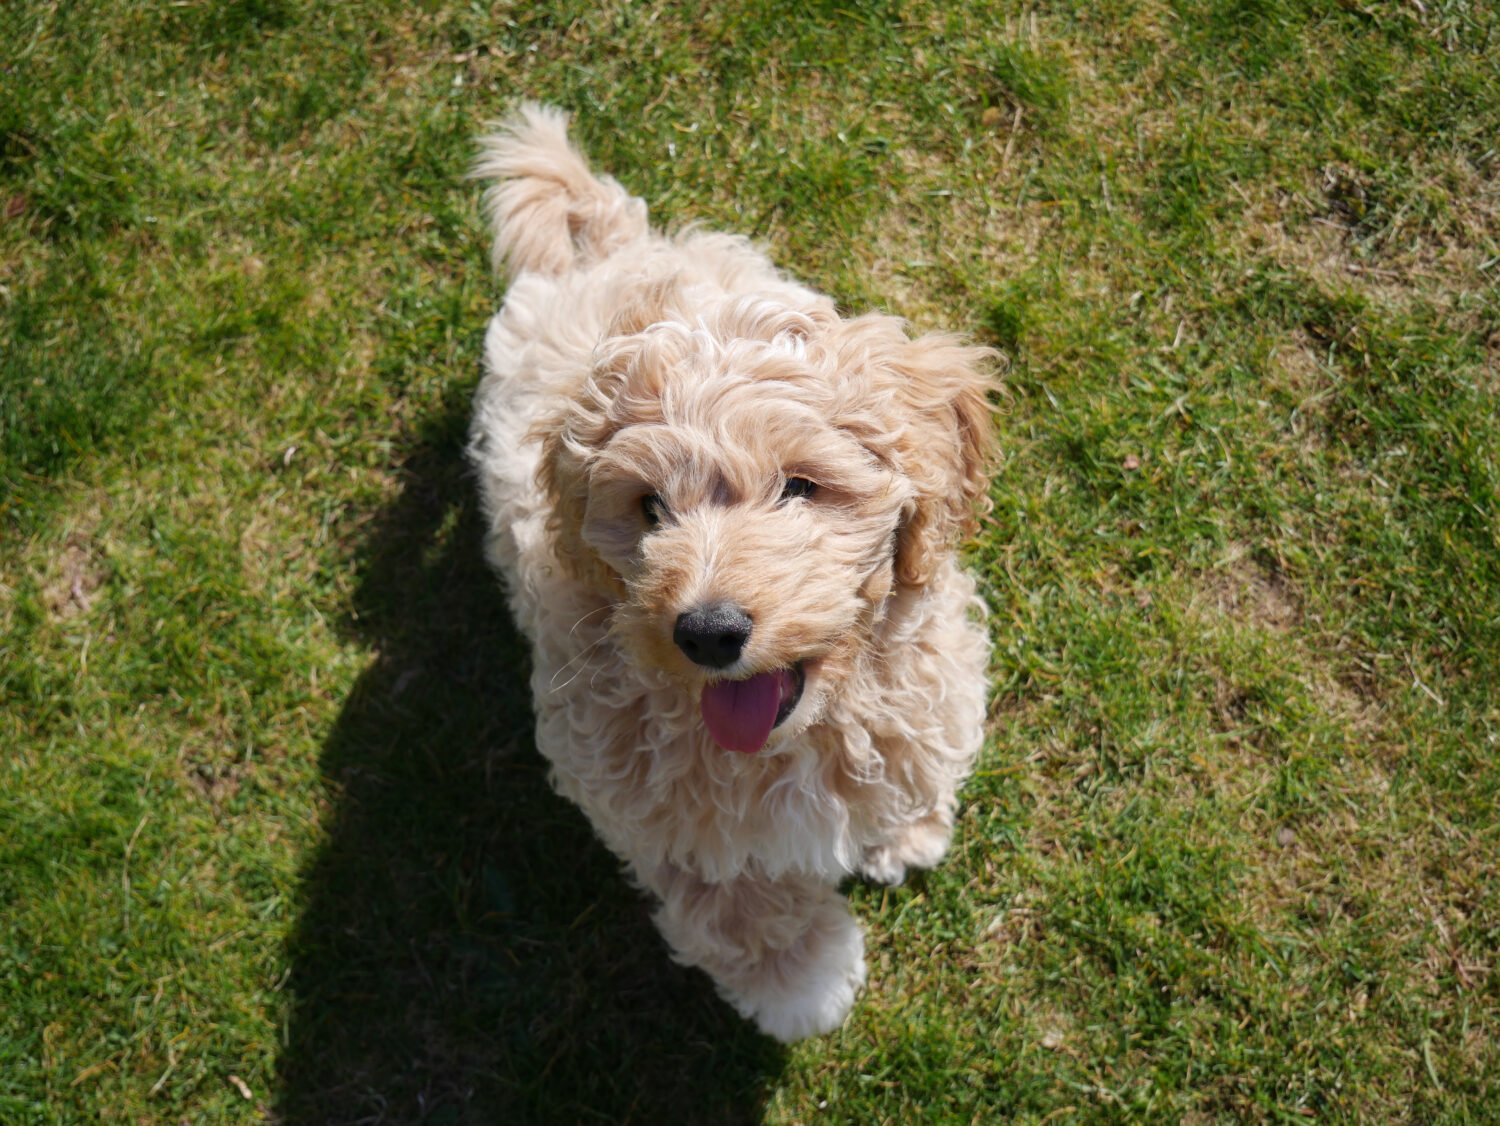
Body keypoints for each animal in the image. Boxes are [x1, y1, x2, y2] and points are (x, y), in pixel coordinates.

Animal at [468, 103, 996, 1037]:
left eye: (799, 487)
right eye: (650, 508)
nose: (708, 631)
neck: (799, 736)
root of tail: (610, 248)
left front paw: (905, 828)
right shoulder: (647, 807)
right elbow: (735, 901)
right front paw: (802, 982)